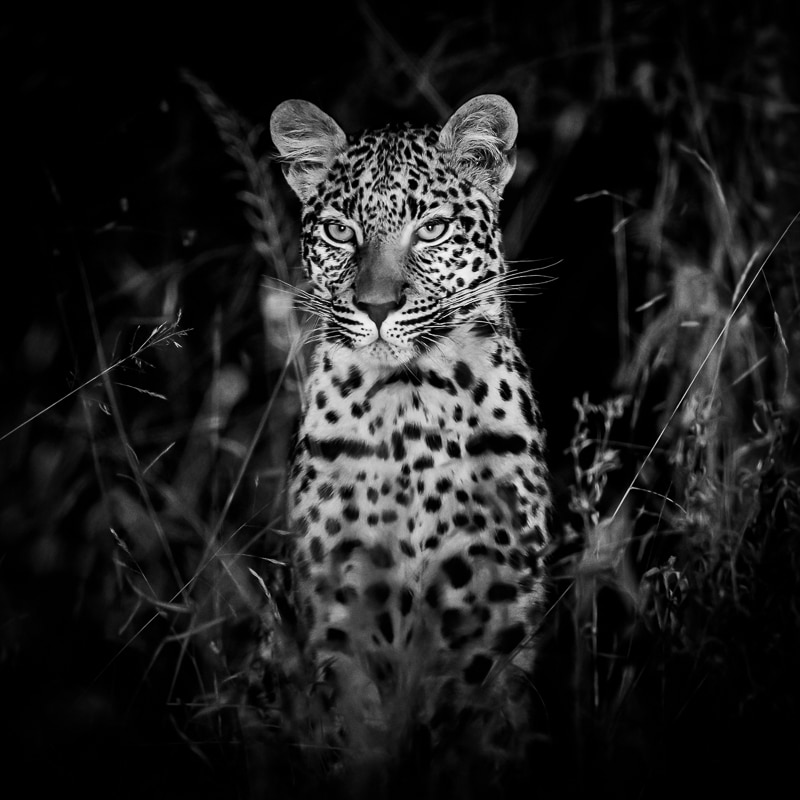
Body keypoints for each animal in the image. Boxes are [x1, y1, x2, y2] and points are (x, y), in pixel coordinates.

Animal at [266, 94, 550, 793]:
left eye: (432, 229)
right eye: (341, 232)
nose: (375, 306)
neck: (411, 405)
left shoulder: (493, 607)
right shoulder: (340, 603)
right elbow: (357, 725)